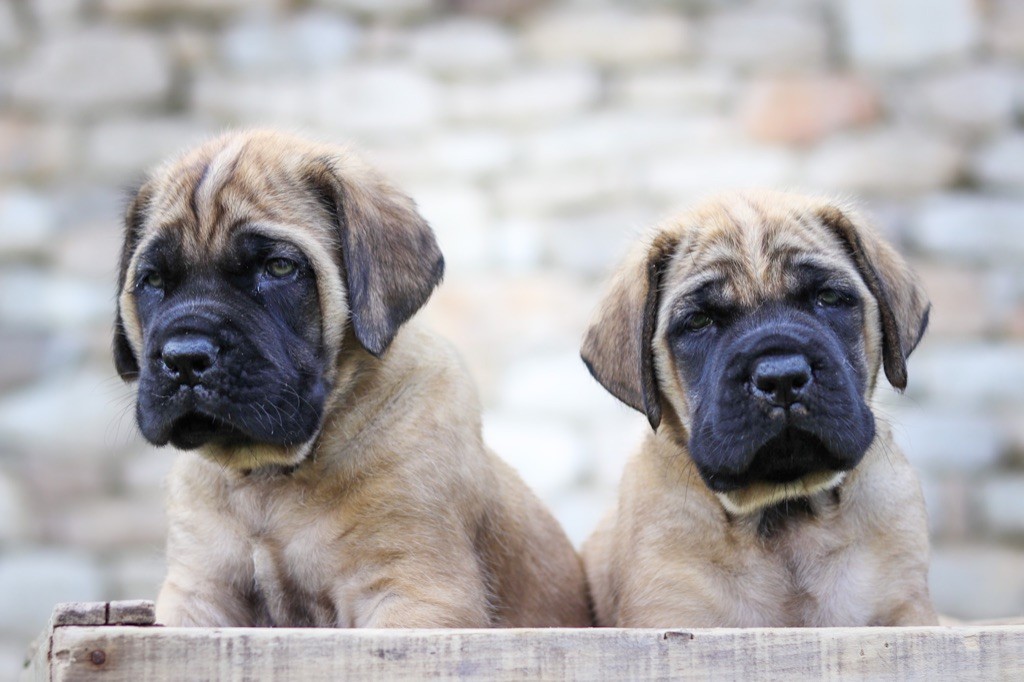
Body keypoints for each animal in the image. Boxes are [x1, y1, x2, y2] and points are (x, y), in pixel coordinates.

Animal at [115, 129, 589, 626]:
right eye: (152, 281)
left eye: (279, 268)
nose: (184, 358)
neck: (270, 480)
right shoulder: (197, 592)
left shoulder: (415, 591)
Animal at [581, 188, 937, 622]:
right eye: (698, 321)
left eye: (828, 298)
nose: (781, 377)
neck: (784, 513)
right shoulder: (672, 611)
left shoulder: (904, 605)